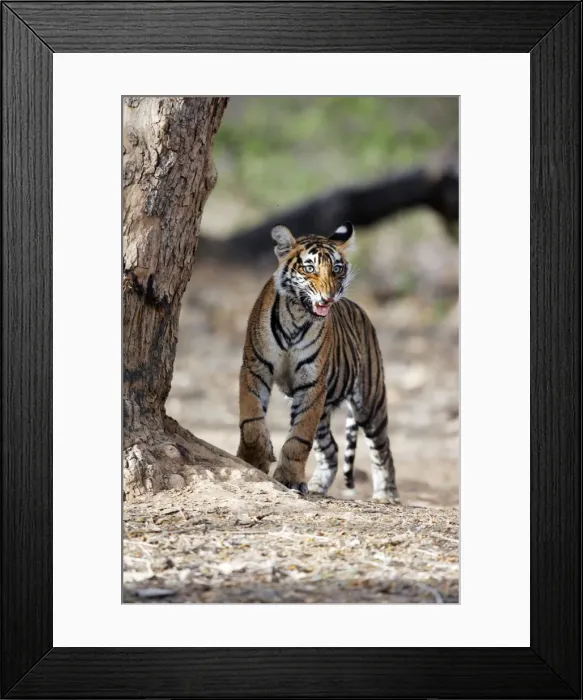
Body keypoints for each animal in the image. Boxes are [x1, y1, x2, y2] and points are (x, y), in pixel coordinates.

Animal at [236, 221, 400, 504]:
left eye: (337, 269)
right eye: (309, 268)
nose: (329, 297)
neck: (297, 316)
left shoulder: (312, 384)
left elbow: (299, 438)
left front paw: (290, 479)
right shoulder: (255, 367)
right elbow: (251, 421)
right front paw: (253, 460)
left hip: (370, 402)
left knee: (383, 450)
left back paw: (386, 496)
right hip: (325, 411)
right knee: (331, 449)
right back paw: (316, 486)